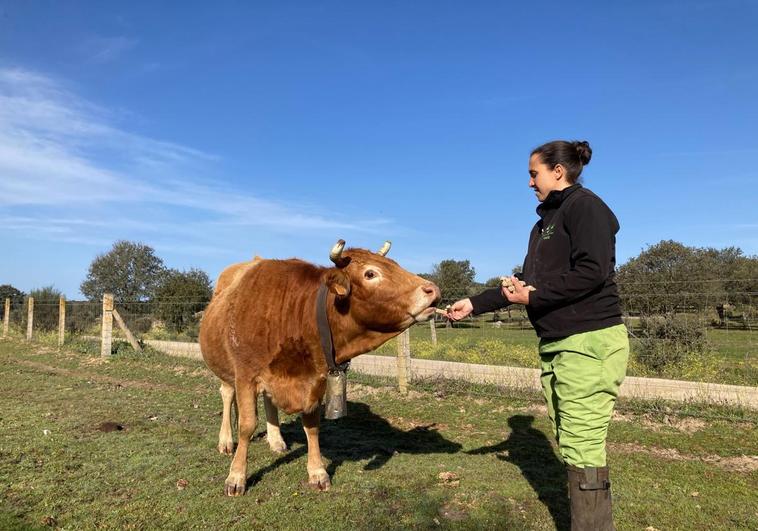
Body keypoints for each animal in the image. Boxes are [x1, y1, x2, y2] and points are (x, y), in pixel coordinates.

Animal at [199, 239, 442, 496]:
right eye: (370, 273)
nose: (433, 289)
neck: (292, 313)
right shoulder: (246, 375)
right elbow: (247, 426)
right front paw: (236, 476)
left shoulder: (315, 380)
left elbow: (312, 427)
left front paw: (317, 472)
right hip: (226, 370)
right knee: (227, 395)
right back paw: (226, 441)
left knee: (268, 400)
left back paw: (276, 440)